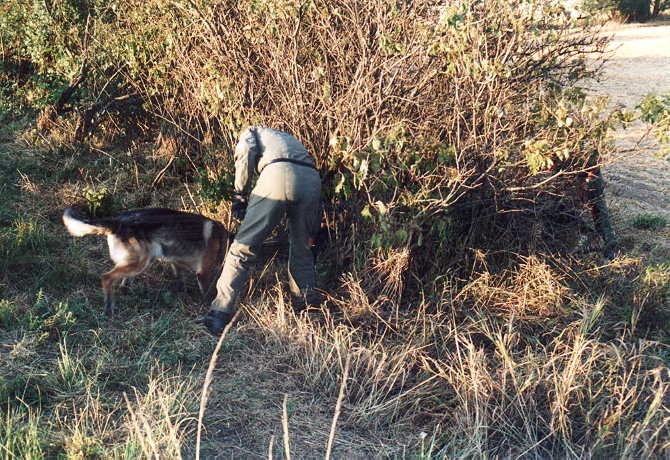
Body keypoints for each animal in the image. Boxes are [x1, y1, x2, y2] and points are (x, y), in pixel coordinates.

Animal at [63, 207, 231, 314]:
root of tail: (117, 221)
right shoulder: (204, 272)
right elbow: (208, 293)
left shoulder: (176, 262)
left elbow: (180, 281)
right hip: (139, 263)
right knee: (107, 278)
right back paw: (109, 309)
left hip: (138, 262)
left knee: (123, 283)